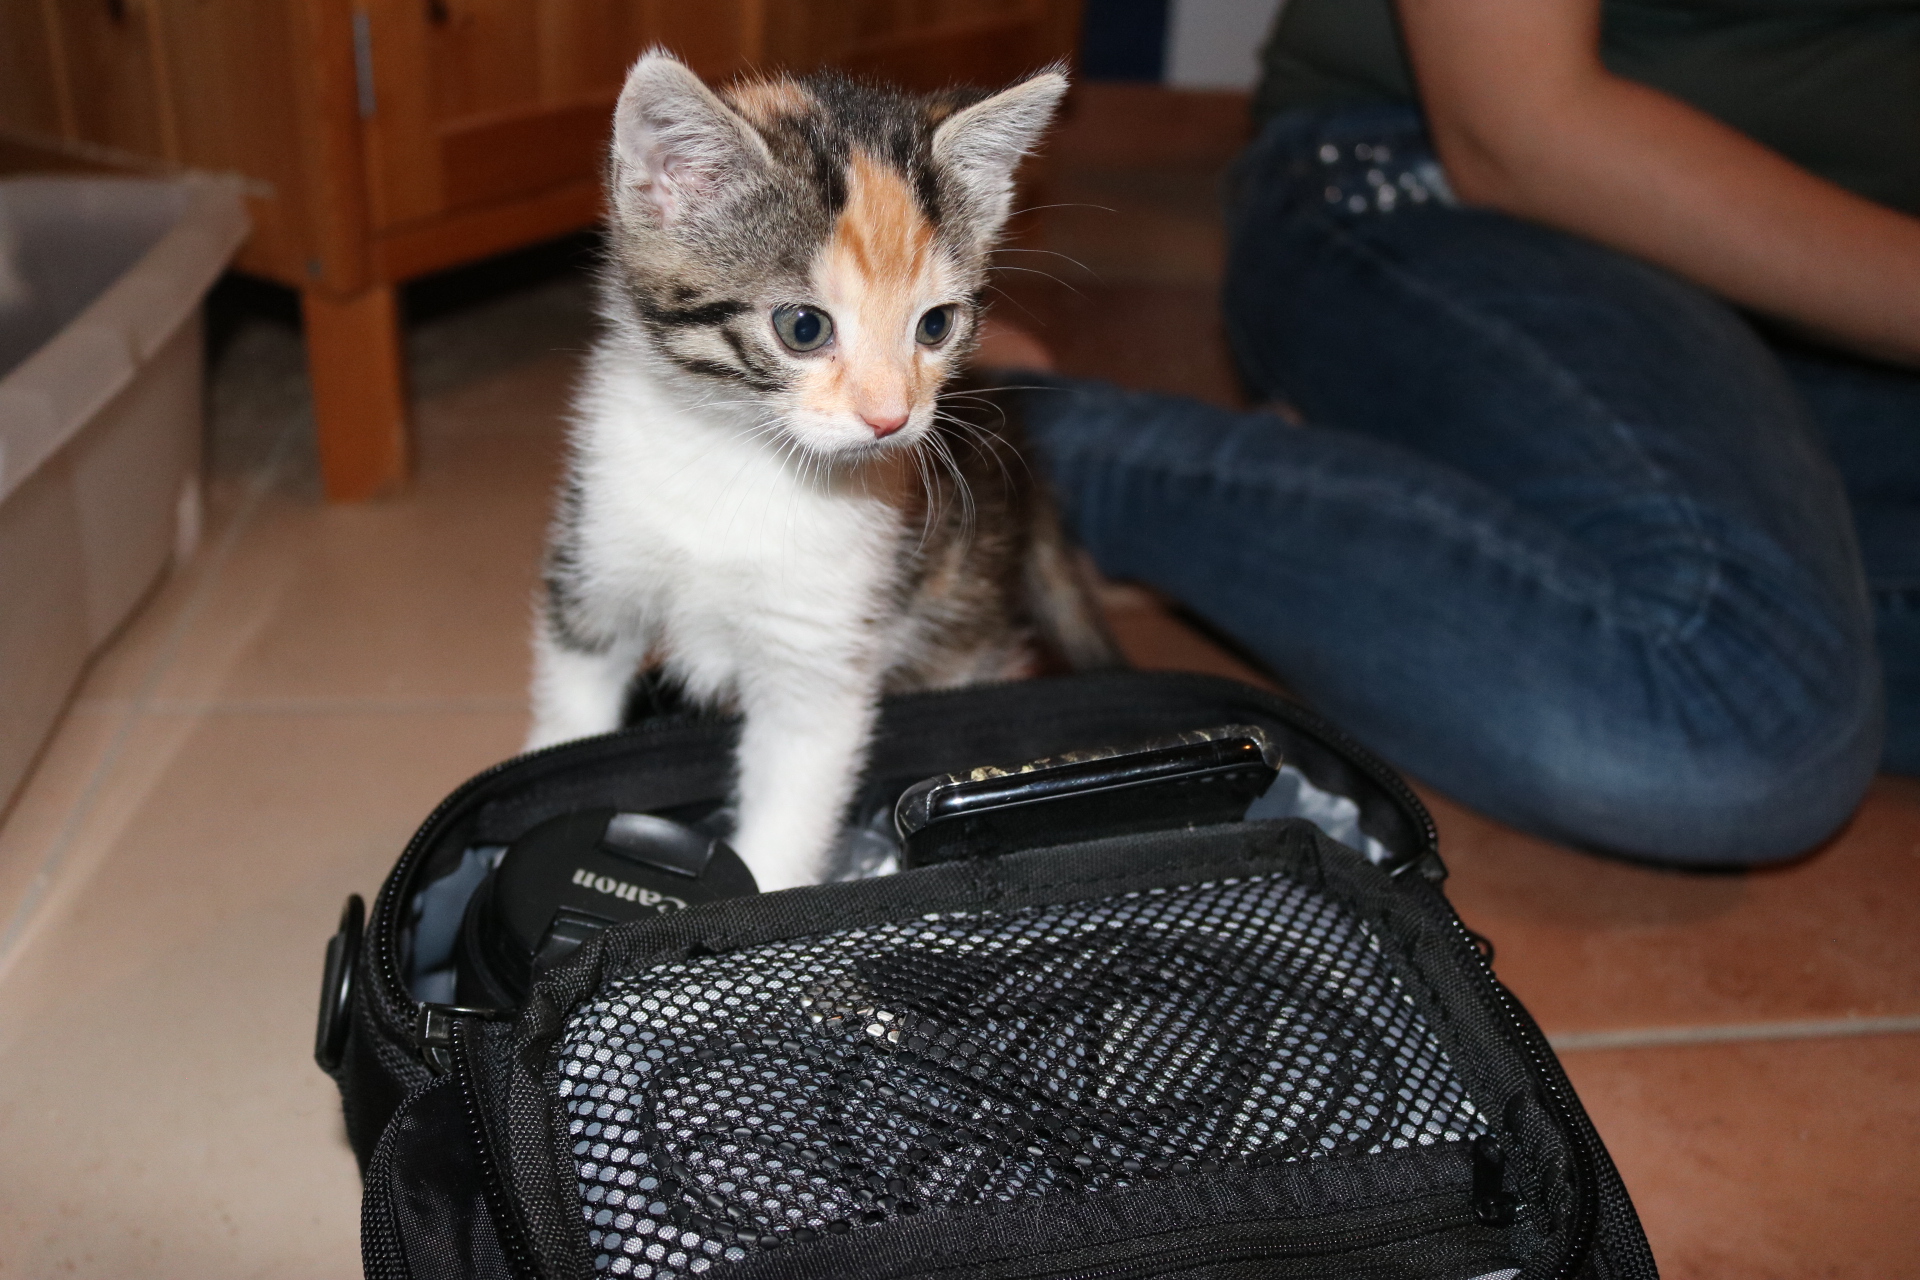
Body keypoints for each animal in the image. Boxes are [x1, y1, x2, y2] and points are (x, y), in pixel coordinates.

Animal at [524, 52, 1121, 891]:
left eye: (936, 325)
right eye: (803, 327)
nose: (891, 418)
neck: (741, 457)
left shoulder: (821, 661)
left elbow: (791, 808)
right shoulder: (595, 572)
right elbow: (569, 722)